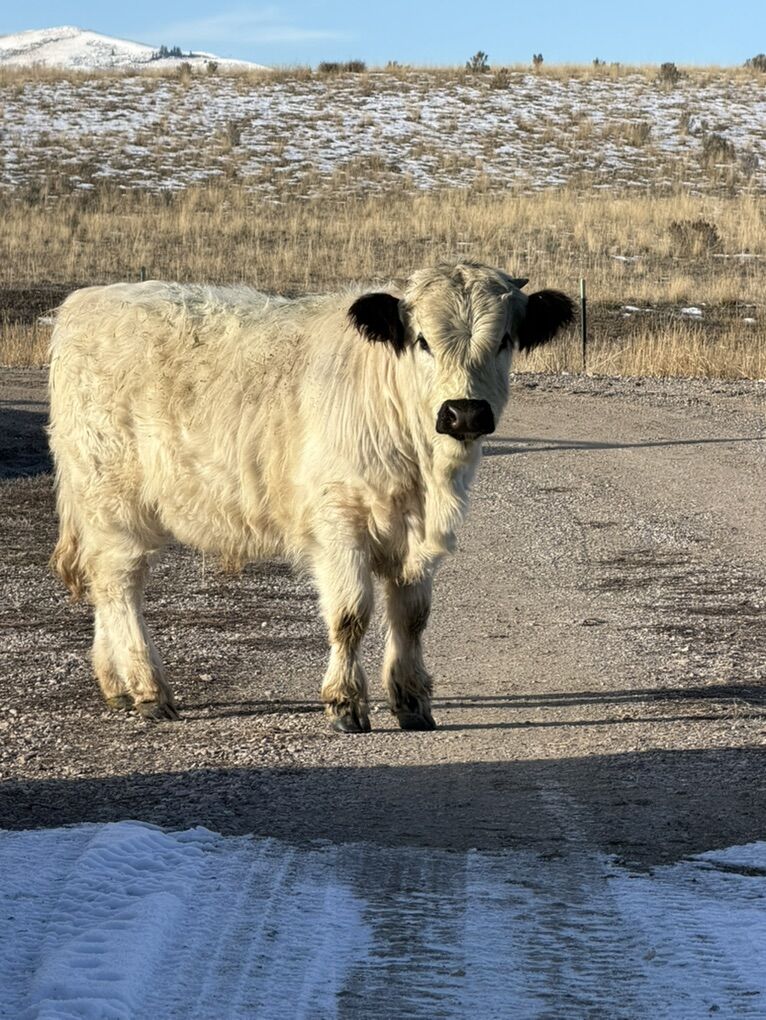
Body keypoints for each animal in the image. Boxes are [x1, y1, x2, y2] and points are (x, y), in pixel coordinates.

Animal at [48, 262, 573, 732]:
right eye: (423, 340)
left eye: (504, 341)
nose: (464, 412)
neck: (423, 470)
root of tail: (85, 301)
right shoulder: (339, 521)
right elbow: (351, 615)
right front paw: (345, 703)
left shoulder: (418, 536)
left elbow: (412, 617)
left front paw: (412, 702)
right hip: (115, 503)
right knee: (121, 588)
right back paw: (148, 689)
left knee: (103, 584)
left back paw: (115, 684)